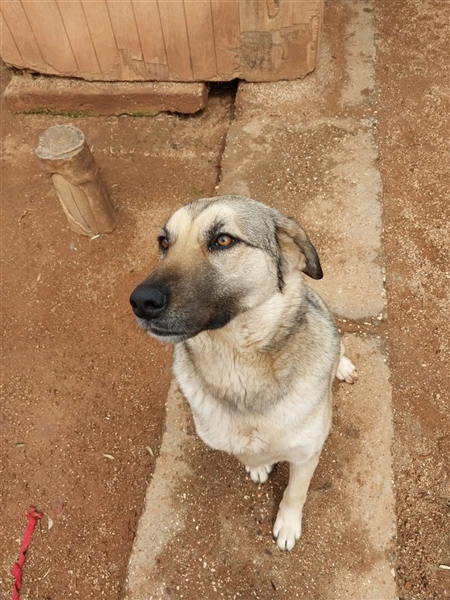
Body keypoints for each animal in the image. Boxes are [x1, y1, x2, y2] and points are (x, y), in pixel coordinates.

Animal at [130, 195, 357, 551]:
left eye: (223, 240)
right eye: (164, 242)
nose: (141, 301)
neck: (238, 368)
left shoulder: (307, 454)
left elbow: (295, 493)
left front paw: (287, 525)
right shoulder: (227, 438)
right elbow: (248, 455)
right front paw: (260, 465)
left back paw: (343, 366)